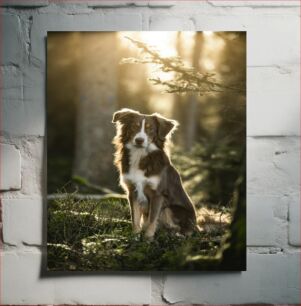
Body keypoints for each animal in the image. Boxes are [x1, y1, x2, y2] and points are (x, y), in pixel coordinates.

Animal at [112, 107, 197, 239]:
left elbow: (152, 219)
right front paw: (135, 236)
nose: (139, 140)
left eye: (150, 129)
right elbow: (135, 218)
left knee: (182, 230)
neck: (140, 155)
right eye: (134, 127)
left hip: (170, 209)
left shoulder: (157, 194)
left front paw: (148, 239)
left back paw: (174, 234)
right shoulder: (132, 191)